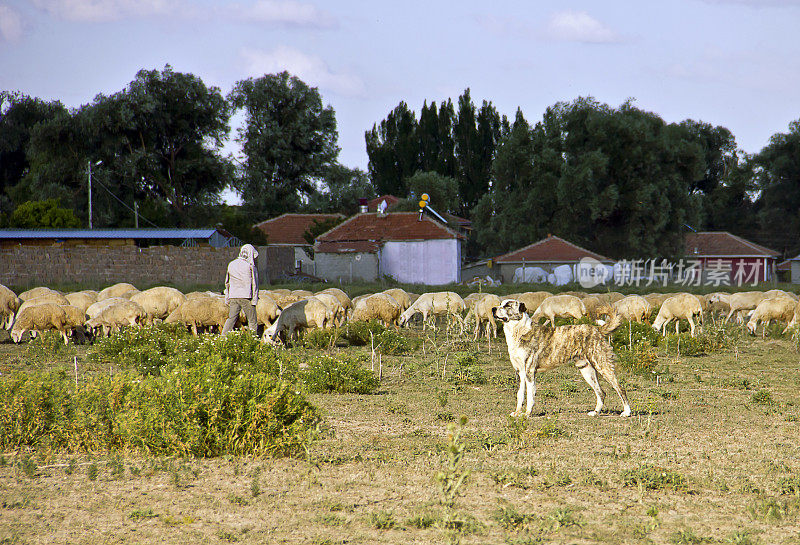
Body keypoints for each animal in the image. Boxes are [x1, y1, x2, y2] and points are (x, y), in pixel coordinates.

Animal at [490, 300, 628, 418]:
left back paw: (626, 412)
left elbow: (529, 396)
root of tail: (597, 329)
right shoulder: (520, 372)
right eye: (500, 304)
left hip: (602, 366)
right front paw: (517, 413)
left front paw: (527, 414)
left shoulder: (529, 371)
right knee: (601, 392)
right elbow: (520, 395)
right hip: (586, 370)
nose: (493, 309)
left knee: (620, 388)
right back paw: (595, 412)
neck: (518, 330)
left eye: (507, 305)